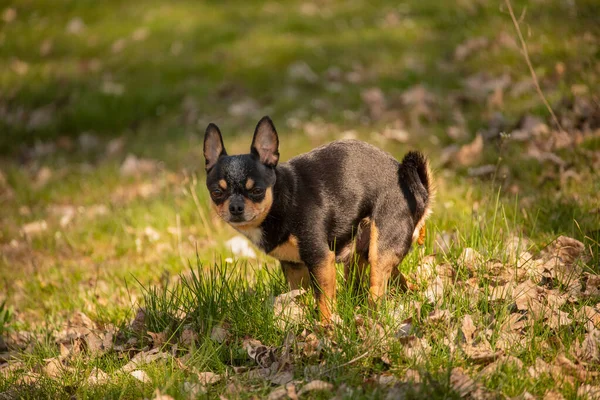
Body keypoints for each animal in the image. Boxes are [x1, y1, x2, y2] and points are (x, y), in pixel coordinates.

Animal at [204, 116, 434, 322]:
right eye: (216, 193)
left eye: (257, 191)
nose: (235, 207)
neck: (281, 198)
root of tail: (417, 191)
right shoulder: (294, 267)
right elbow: (299, 296)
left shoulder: (320, 259)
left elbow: (324, 299)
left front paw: (325, 327)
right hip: (365, 251)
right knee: (395, 280)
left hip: (381, 249)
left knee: (377, 291)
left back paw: (371, 317)